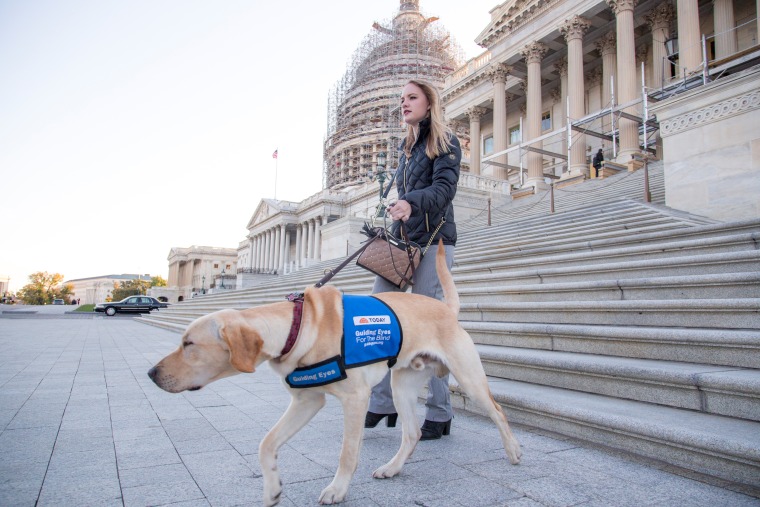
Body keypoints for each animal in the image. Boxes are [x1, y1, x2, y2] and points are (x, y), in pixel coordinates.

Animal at [146, 241, 520, 504]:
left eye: (188, 343)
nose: (150, 373)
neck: (297, 326)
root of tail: (445, 307)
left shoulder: (355, 399)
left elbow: (347, 453)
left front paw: (337, 490)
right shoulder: (306, 401)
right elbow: (266, 444)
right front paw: (273, 488)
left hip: (469, 378)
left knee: (498, 411)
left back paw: (514, 451)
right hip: (401, 385)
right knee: (412, 433)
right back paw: (393, 468)